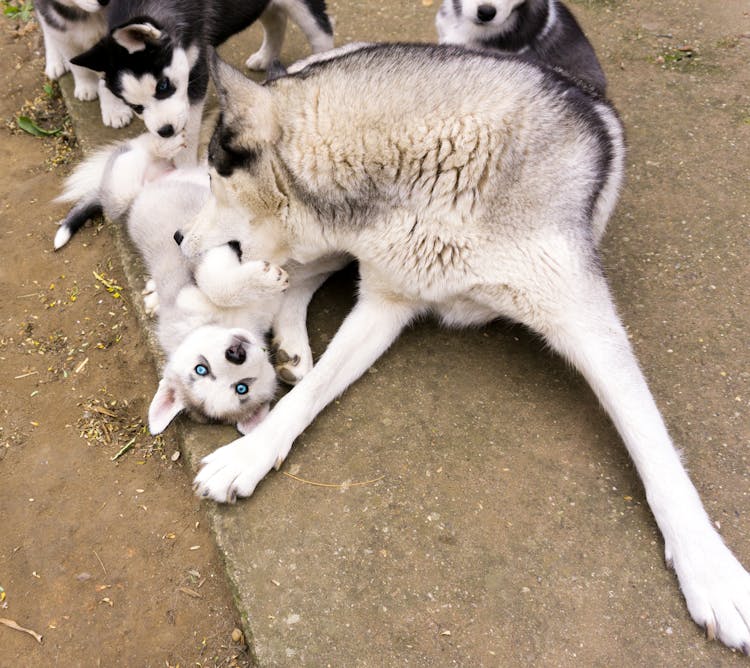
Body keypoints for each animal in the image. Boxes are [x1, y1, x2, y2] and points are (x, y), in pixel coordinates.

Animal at [69, 0, 334, 164]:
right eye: (136, 107)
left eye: (163, 86)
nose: (165, 131)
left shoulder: (197, 69)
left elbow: (189, 130)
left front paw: (184, 168)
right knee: (275, 18)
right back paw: (266, 56)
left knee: (321, 31)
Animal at [181, 48, 750, 652]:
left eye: (214, 181)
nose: (179, 239)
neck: (437, 171)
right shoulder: (386, 297)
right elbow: (306, 396)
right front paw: (250, 454)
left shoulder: (588, 324)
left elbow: (656, 452)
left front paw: (710, 572)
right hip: (325, 252)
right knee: (290, 282)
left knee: (292, 282)